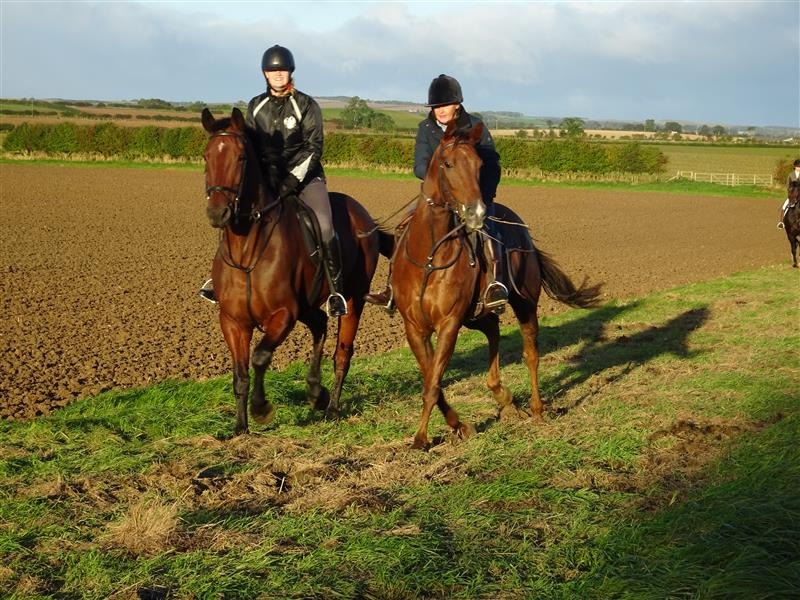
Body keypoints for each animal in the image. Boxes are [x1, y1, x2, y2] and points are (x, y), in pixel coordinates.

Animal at [201, 107, 387, 435]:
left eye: (241, 157)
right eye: (206, 156)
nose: (217, 212)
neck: (247, 250)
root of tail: (364, 215)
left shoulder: (283, 314)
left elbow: (260, 357)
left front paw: (261, 409)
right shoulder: (233, 321)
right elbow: (240, 374)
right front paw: (240, 428)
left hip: (353, 298)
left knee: (342, 352)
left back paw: (332, 407)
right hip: (307, 305)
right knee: (320, 325)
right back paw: (316, 392)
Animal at [391, 121, 602, 449]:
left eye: (479, 165)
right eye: (448, 164)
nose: (475, 212)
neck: (429, 257)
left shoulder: (449, 323)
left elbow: (433, 384)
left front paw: (421, 438)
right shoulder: (415, 327)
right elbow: (432, 381)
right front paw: (459, 426)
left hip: (524, 303)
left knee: (530, 353)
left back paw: (536, 410)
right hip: (475, 315)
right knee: (493, 330)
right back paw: (503, 396)